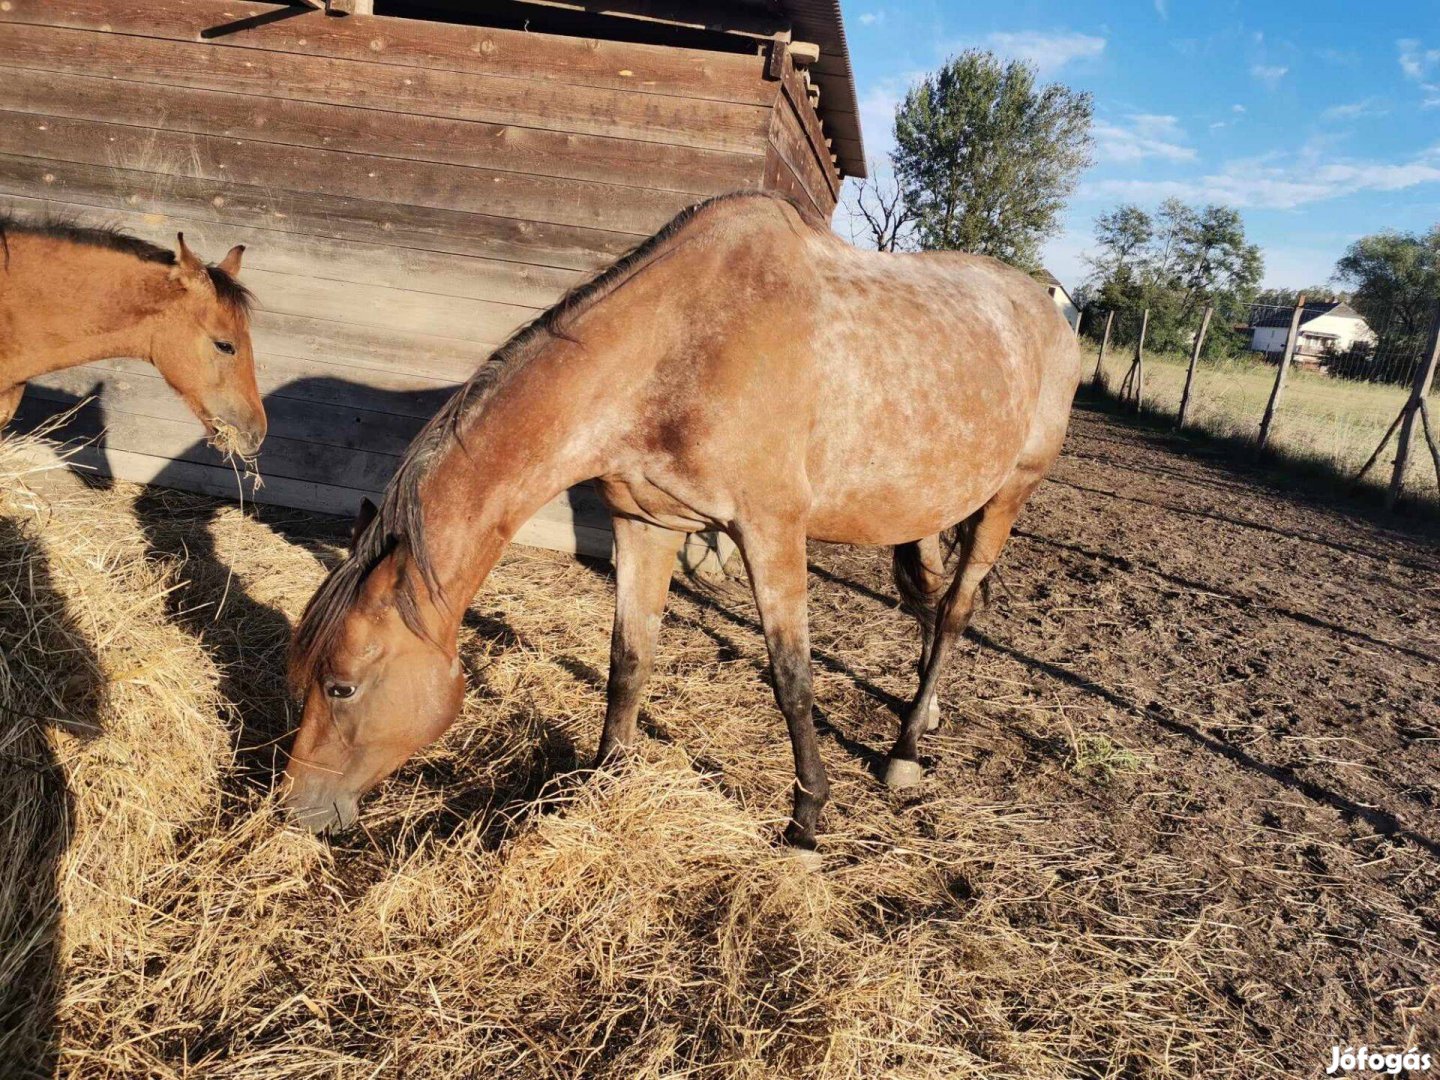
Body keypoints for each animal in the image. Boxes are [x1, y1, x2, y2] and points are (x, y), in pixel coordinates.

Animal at [283, 194, 1082, 852]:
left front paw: (806, 820)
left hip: (1010, 494)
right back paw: (929, 711)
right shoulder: (644, 523)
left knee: (955, 610)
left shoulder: (771, 532)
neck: (683, 348)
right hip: (927, 504)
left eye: (342, 686)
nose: (296, 811)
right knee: (932, 601)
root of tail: (1049, 309)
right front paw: (603, 778)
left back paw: (907, 750)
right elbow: (628, 660)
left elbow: (792, 679)